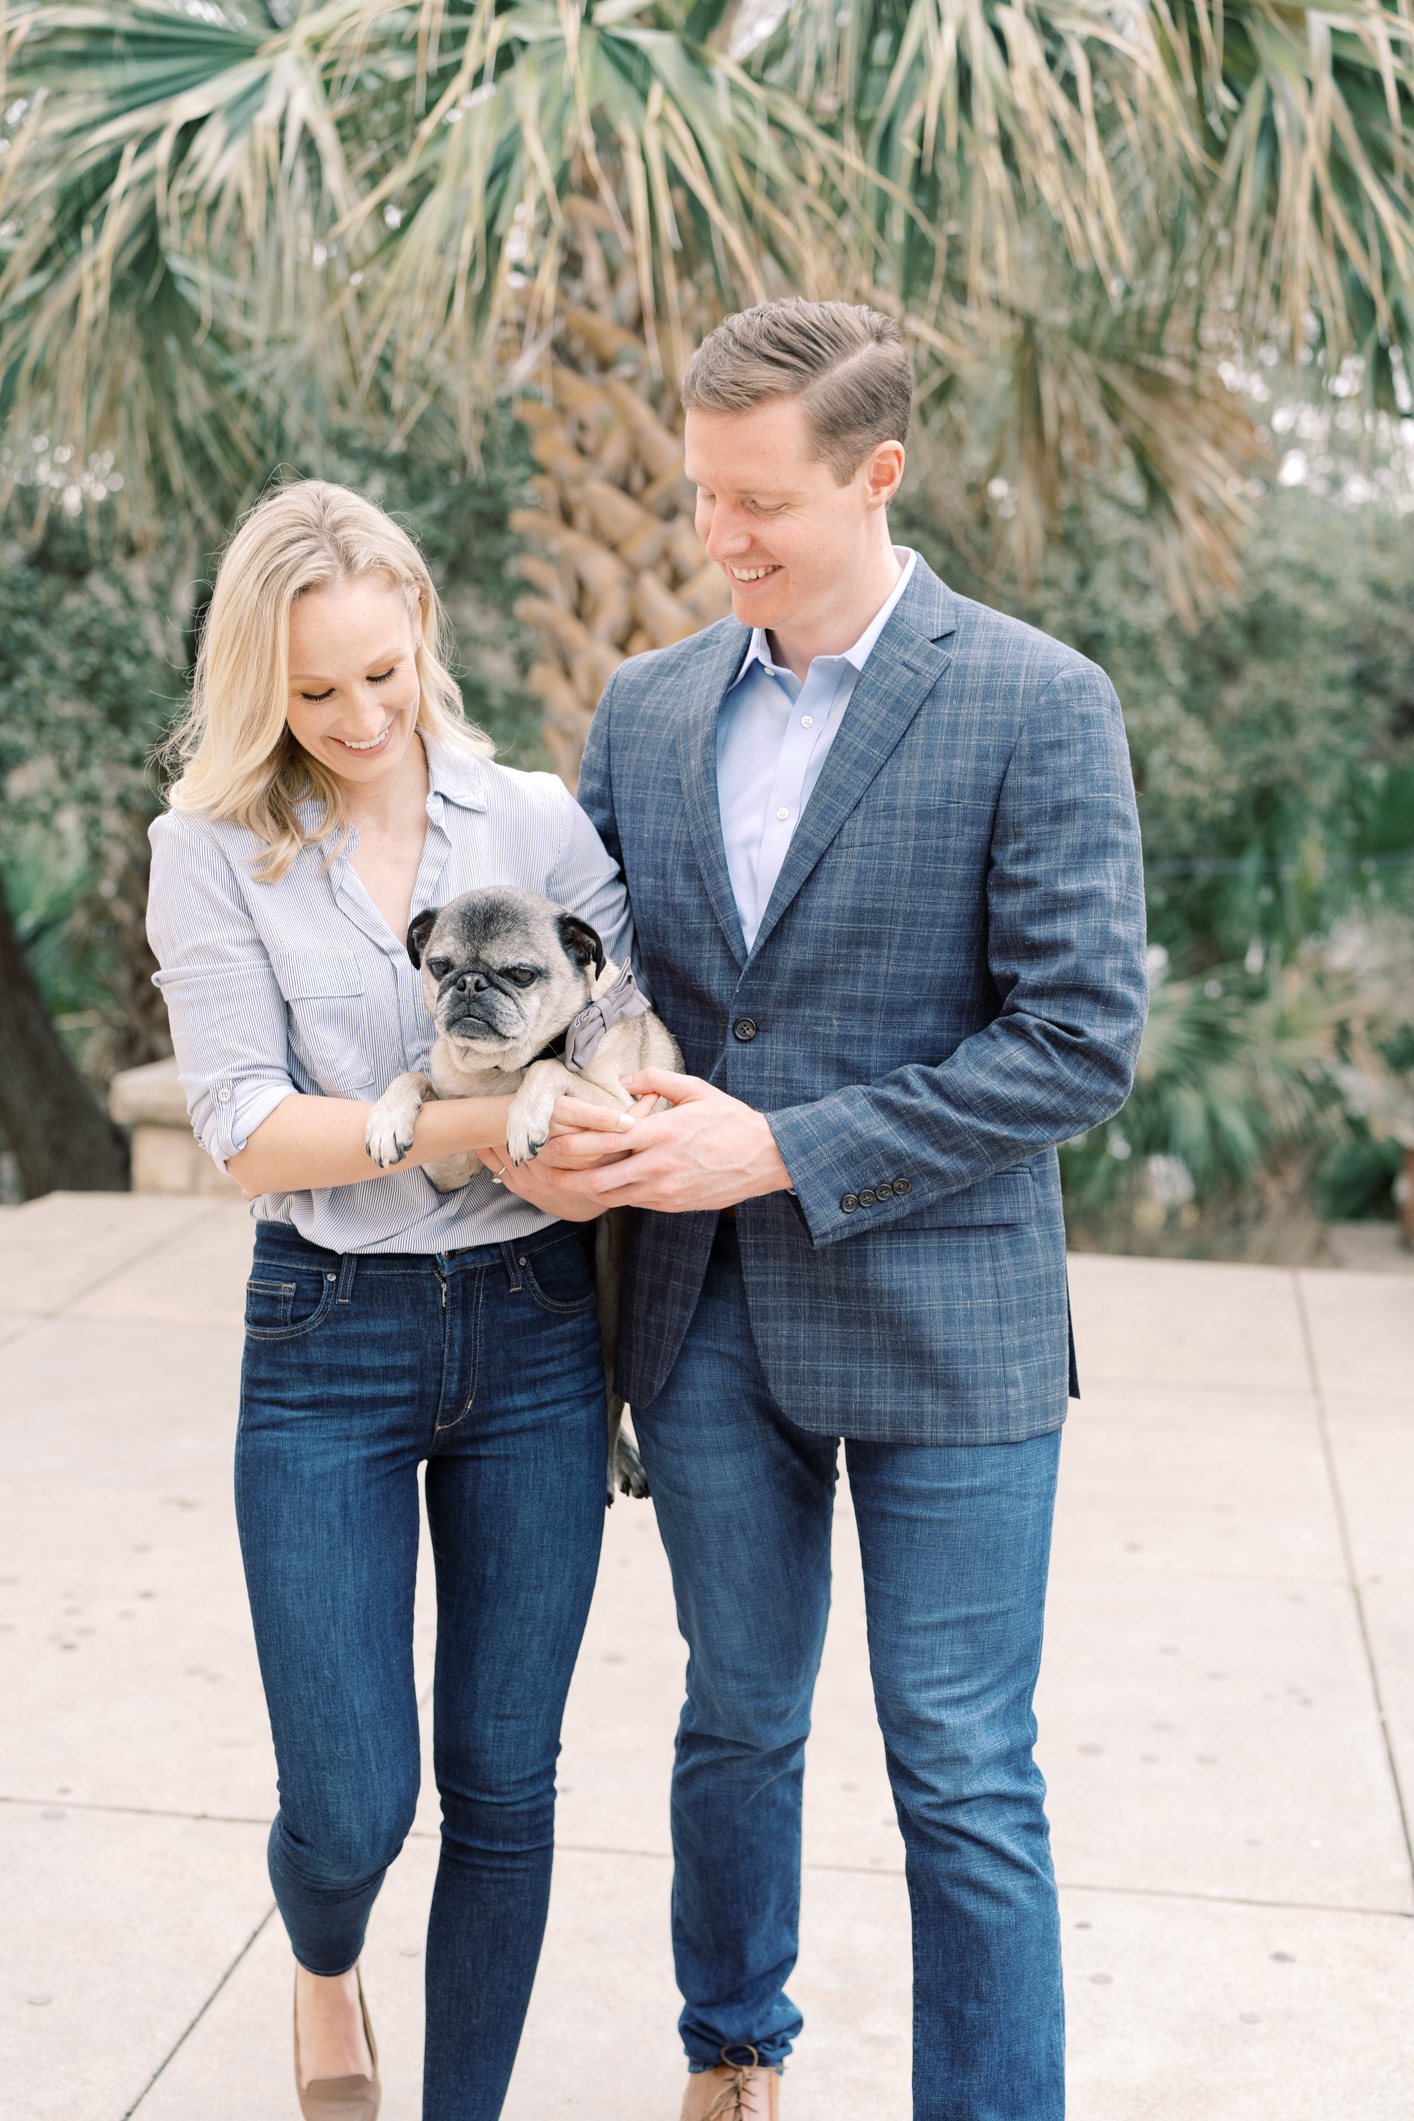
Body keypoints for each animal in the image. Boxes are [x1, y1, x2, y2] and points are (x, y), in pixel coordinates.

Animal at [368, 886, 682, 1501]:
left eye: (519, 973)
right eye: (439, 966)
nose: (469, 984)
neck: (499, 1073)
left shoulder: (619, 1113)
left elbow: (551, 1074)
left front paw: (526, 1115)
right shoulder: (447, 1159)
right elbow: (420, 1079)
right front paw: (389, 1116)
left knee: (610, 1401)